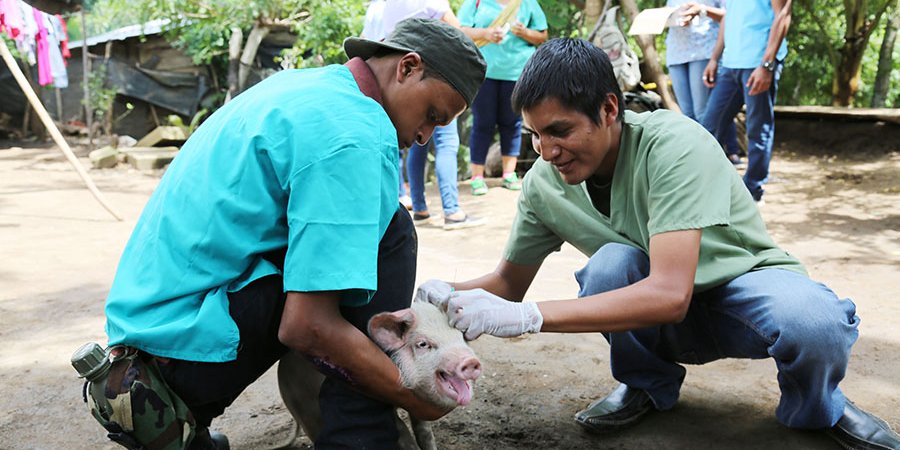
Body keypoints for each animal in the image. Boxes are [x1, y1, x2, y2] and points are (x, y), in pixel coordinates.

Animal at [276, 298, 482, 450]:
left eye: (460, 335)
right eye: (423, 344)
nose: (471, 362)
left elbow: (424, 432)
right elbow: (401, 433)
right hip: (309, 408)